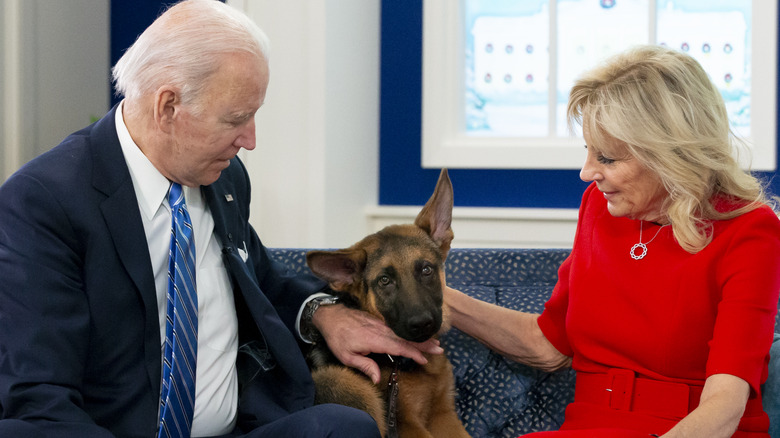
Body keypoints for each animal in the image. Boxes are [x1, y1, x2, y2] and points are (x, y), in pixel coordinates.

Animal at [304, 169, 470, 436]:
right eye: (384, 281)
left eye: (426, 269)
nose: (422, 324)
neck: (397, 361)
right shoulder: (408, 424)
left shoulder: (443, 414)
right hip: (342, 381)